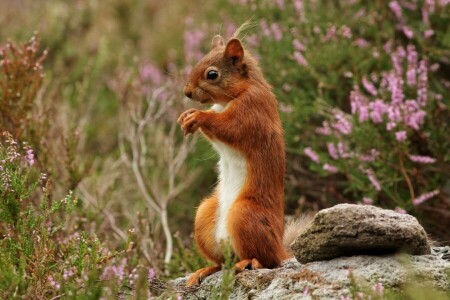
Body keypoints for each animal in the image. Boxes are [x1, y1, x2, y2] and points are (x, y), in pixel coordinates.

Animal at [177, 32, 306, 286]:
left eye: (212, 74)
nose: (187, 92)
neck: (231, 97)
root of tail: (280, 249)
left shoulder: (251, 112)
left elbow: (229, 127)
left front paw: (198, 116)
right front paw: (186, 116)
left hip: (244, 213)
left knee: (265, 259)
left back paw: (248, 262)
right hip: (204, 215)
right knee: (222, 262)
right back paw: (206, 270)